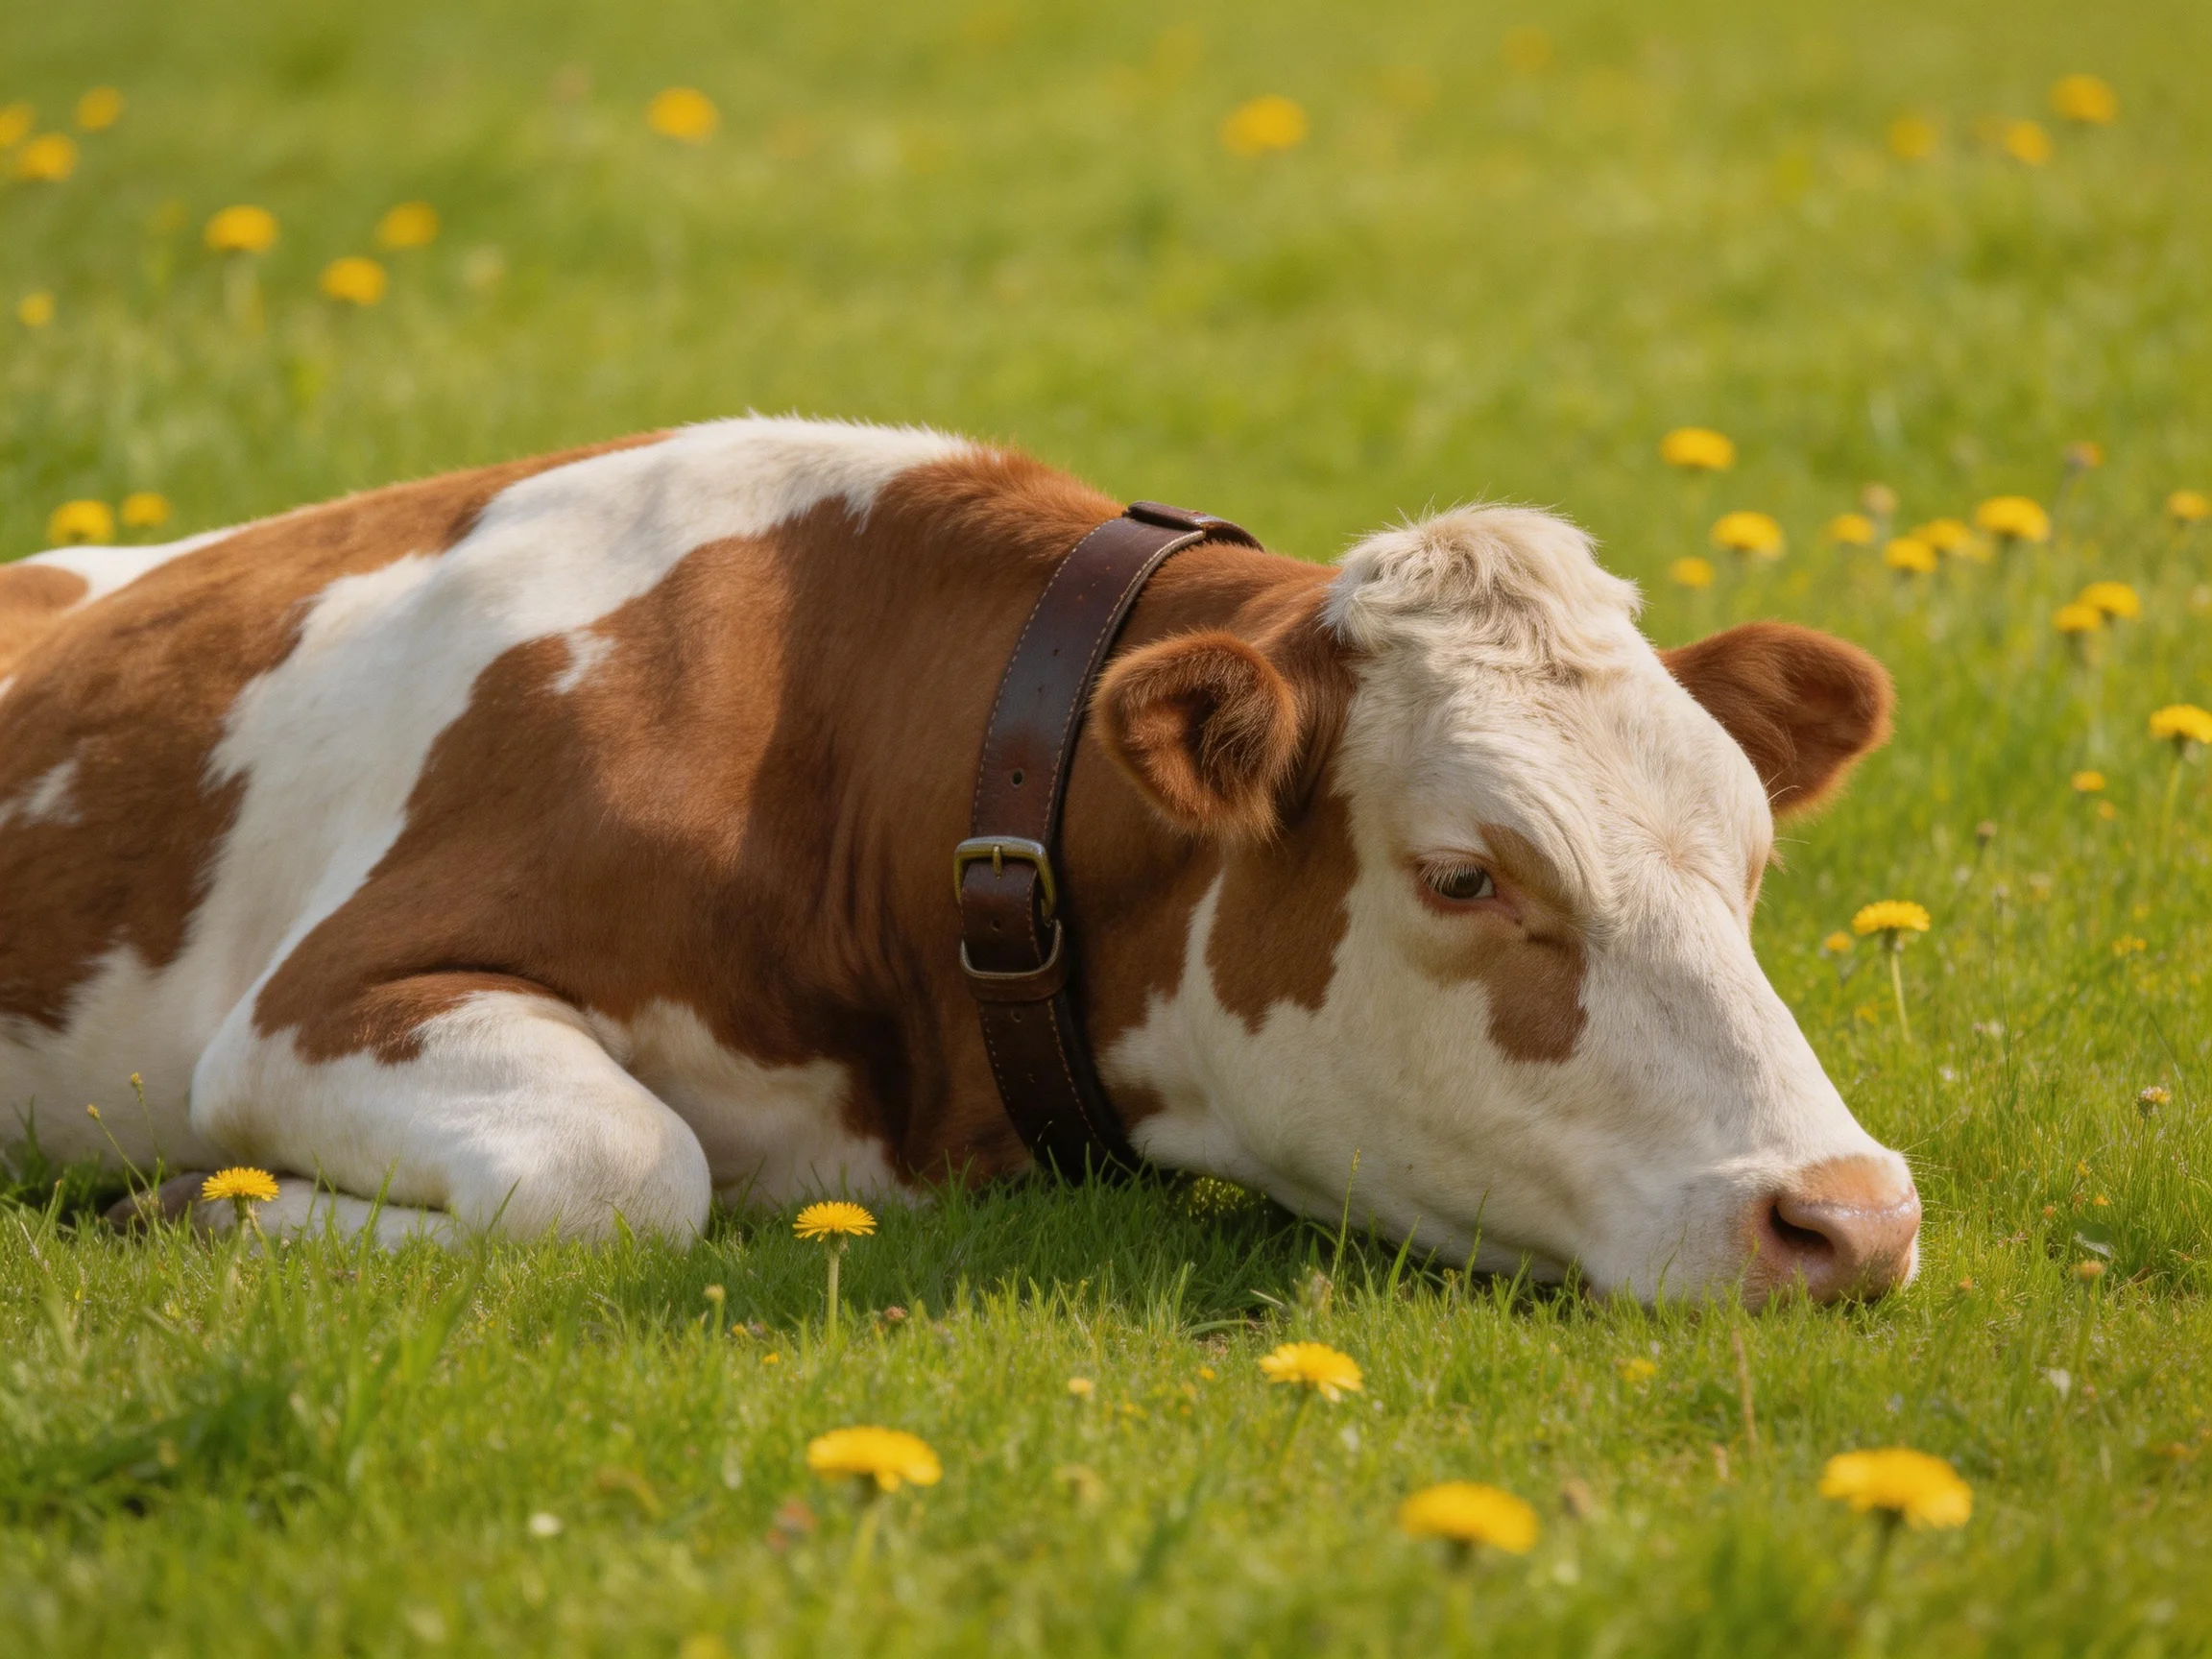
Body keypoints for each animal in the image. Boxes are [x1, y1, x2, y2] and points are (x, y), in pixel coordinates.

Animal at [0, 417, 1916, 1304]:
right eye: (1464, 876)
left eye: (1752, 859)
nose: (1848, 1216)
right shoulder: (316, 1003)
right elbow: (626, 1168)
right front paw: (202, 1204)